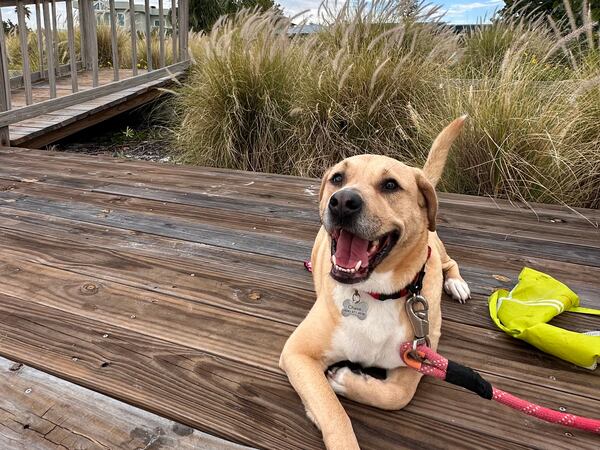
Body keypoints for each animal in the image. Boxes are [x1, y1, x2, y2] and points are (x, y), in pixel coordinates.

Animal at [278, 117, 472, 450]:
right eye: (338, 178)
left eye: (391, 185)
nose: (343, 202)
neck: (375, 293)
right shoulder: (298, 354)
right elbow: (334, 414)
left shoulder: (417, 357)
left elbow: (396, 395)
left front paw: (347, 380)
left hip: (436, 249)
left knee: (449, 263)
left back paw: (457, 284)